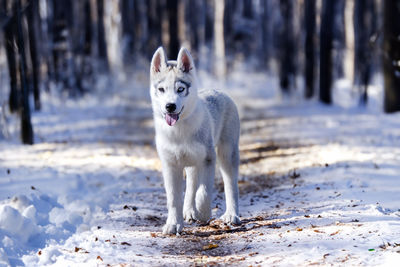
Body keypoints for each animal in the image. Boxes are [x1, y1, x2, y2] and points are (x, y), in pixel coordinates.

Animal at [148, 47, 239, 236]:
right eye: (161, 89)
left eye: (180, 89)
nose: (170, 106)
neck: (179, 131)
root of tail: (217, 90)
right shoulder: (170, 165)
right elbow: (174, 198)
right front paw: (173, 224)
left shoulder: (208, 159)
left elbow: (203, 193)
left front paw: (204, 214)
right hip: (191, 163)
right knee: (191, 185)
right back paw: (189, 212)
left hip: (227, 154)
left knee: (230, 184)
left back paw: (231, 215)